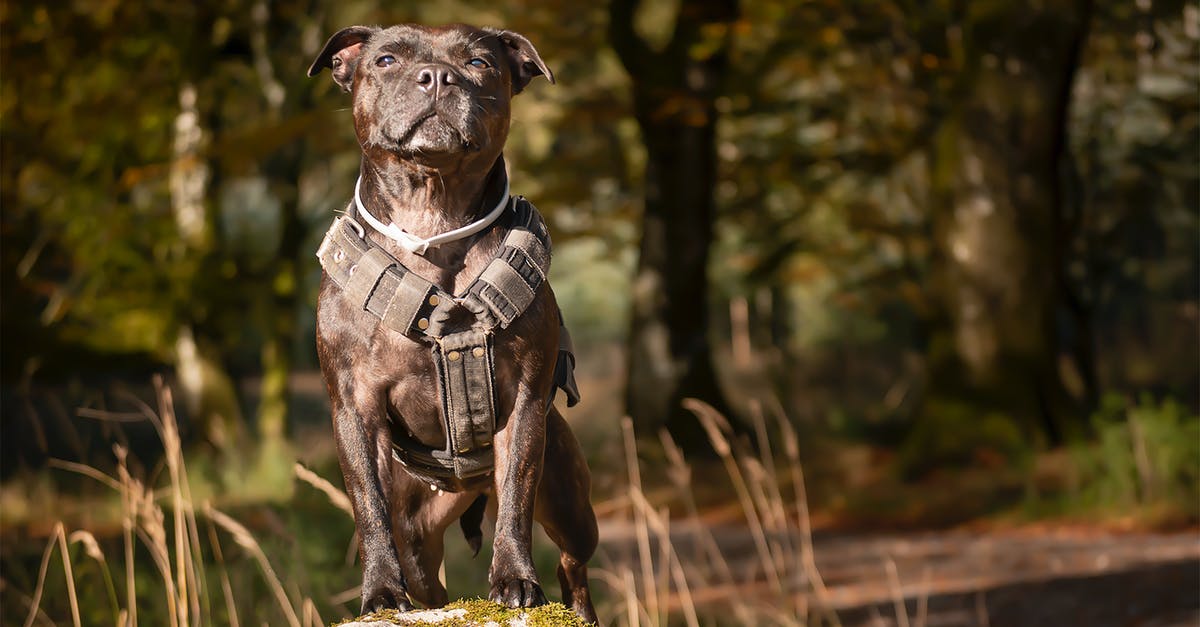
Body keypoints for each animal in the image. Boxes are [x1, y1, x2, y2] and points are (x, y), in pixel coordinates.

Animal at [304, 23, 595, 619]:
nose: (437, 76)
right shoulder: (355, 407)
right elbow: (368, 507)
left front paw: (515, 580)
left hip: (573, 507)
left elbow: (516, 502)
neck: (431, 218)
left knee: (572, 564)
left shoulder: (524, 404)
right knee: (428, 584)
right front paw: (379, 592)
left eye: (480, 63)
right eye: (386, 60)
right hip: (419, 538)